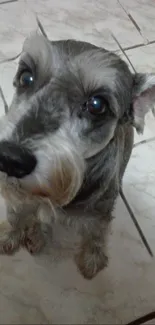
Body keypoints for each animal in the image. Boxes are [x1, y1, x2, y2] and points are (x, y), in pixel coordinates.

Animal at [0, 33, 154, 278]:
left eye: (97, 105)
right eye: (26, 77)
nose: (10, 159)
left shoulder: (98, 214)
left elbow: (96, 235)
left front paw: (92, 259)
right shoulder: (21, 198)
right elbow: (16, 215)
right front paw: (10, 235)